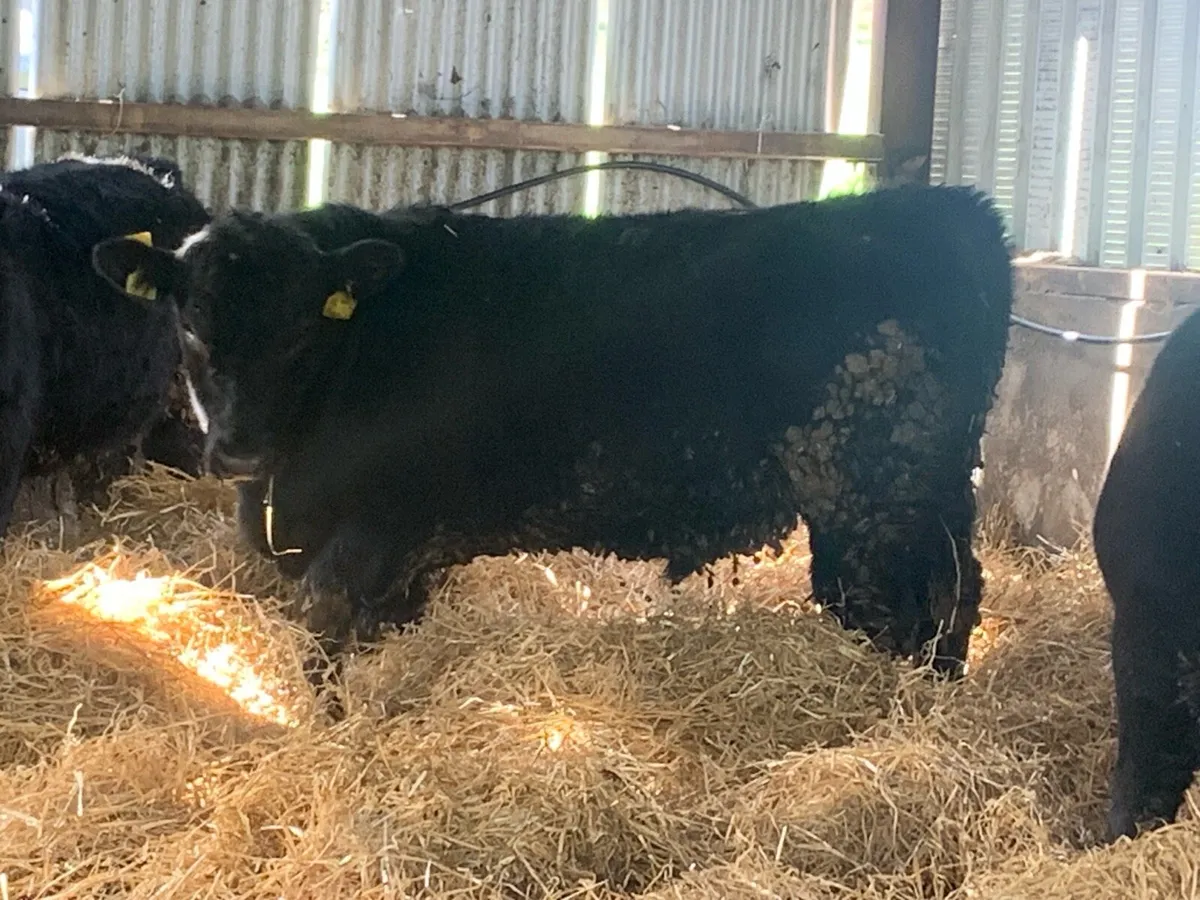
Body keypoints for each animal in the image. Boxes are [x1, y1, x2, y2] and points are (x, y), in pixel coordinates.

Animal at [92, 184, 1015, 679]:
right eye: (190, 328)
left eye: (299, 333)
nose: (236, 448)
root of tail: (952, 208)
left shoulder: (378, 526)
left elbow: (326, 636)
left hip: (879, 498)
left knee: (923, 600)